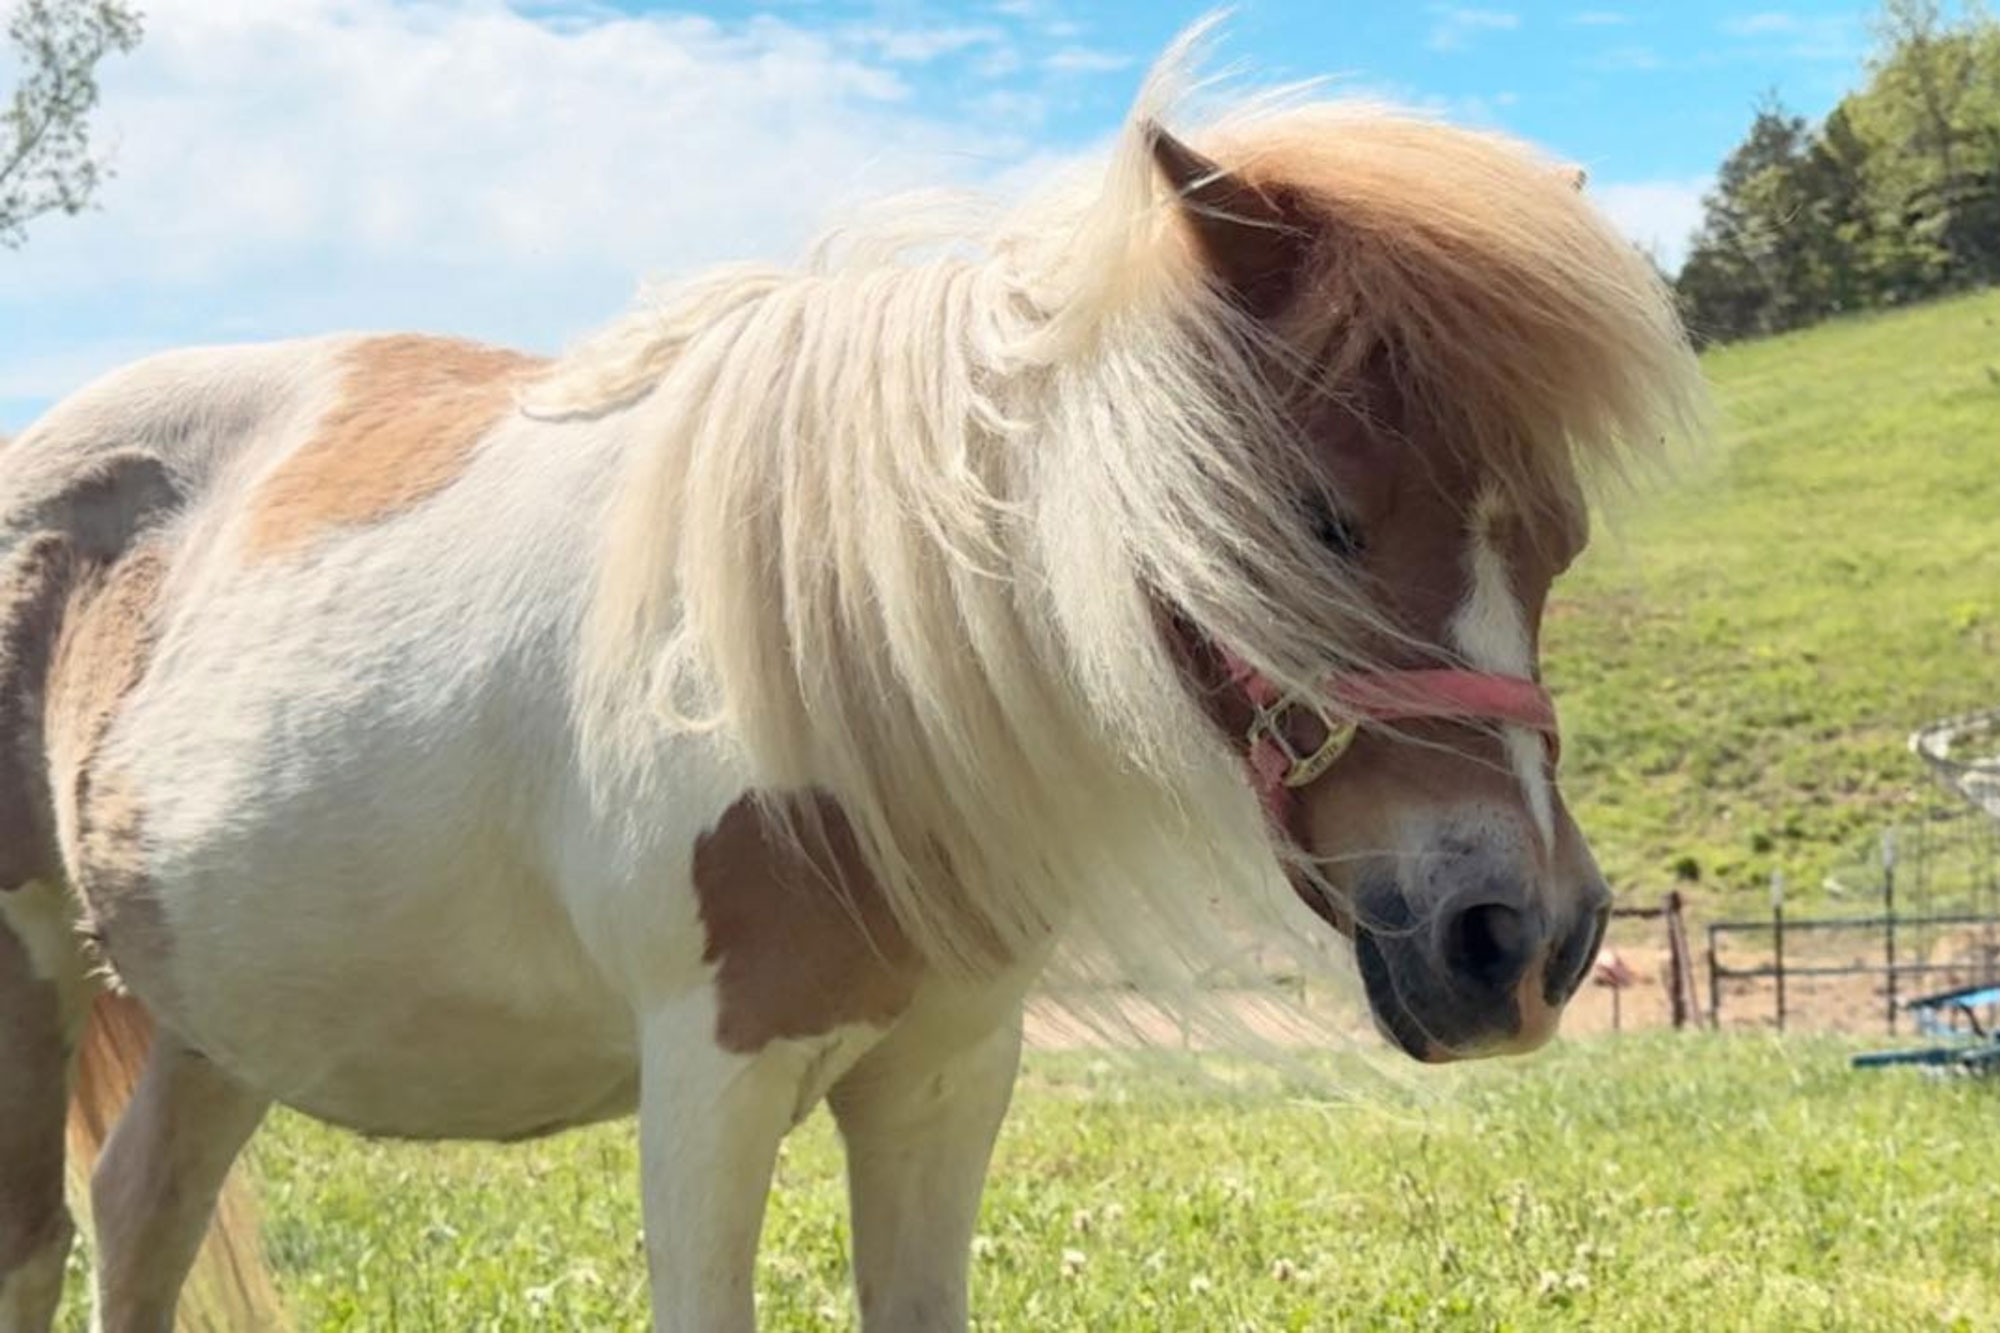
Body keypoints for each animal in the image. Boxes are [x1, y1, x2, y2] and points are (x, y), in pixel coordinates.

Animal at [0, 27, 1705, 1333]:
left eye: (1558, 542)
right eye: (1317, 516)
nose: (1524, 939)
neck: (839, 670)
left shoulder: (947, 1075)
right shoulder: (710, 1086)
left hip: (217, 1010)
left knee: (142, 1212)